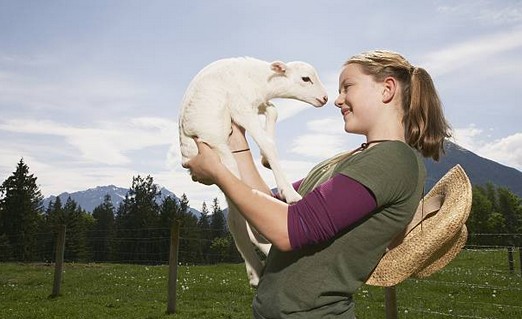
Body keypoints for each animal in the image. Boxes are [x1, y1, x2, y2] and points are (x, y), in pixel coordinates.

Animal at [179, 56, 324, 286]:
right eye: (305, 79)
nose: (325, 98)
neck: (260, 80)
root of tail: (187, 157)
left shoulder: (258, 104)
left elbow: (274, 110)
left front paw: (264, 160)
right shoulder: (241, 109)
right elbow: (267, 143)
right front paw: (289, 193)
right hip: (222, 157)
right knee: (237, 219)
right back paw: (255, 270)